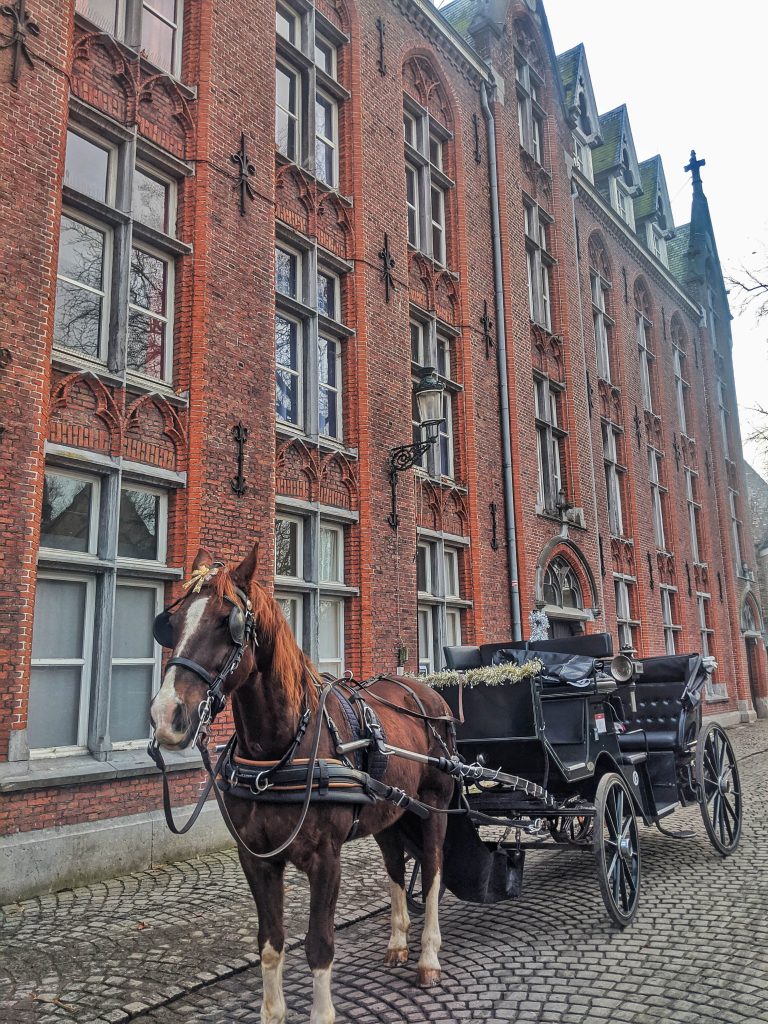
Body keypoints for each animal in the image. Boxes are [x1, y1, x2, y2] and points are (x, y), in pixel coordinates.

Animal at [150, 548, 456, 1024]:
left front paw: (322, 1012)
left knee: (434, 871)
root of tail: (426, 691)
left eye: (227, 623)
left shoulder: (326, 859)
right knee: (395, 867)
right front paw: (272, 1012)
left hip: (435, 808)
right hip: (389, 813)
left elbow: (319, 945)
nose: (167, 715)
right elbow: (270, 944)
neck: (276, 754)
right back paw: (397, 944)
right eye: (173, 622)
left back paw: (428, 959)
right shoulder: (256, 859)